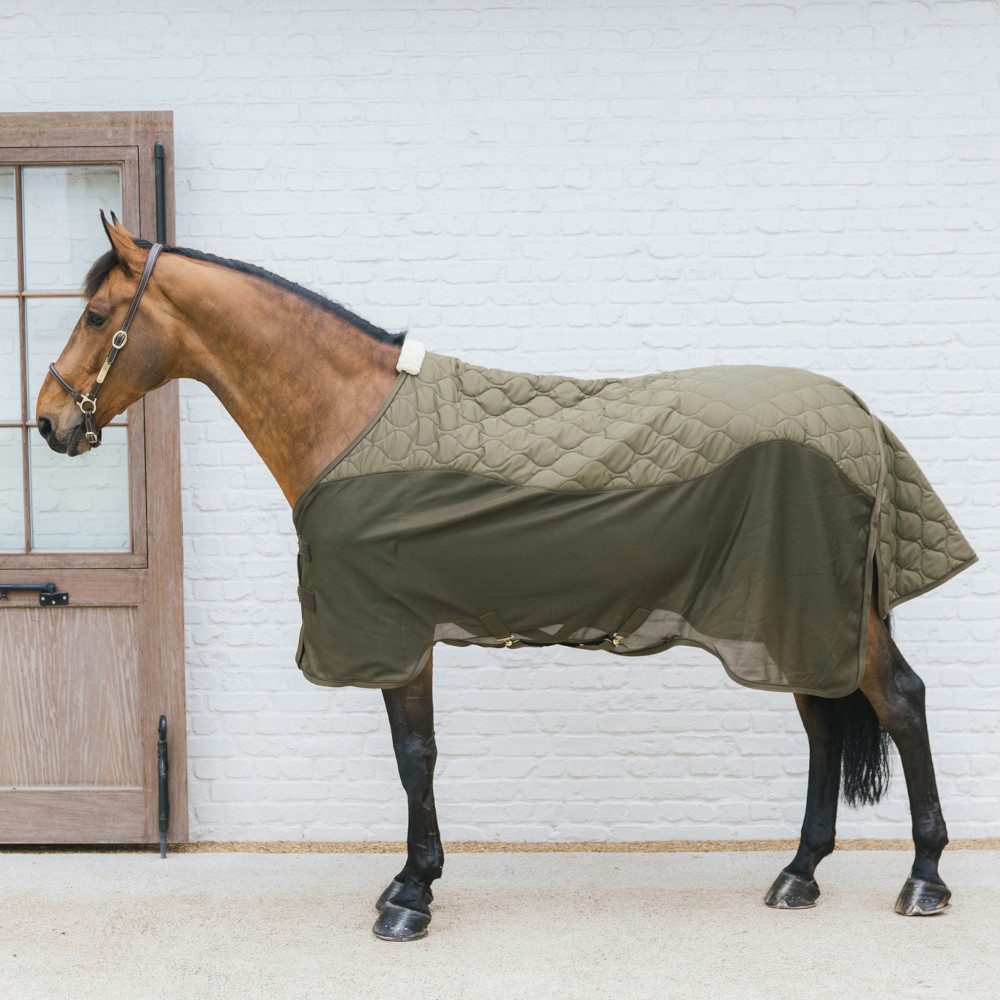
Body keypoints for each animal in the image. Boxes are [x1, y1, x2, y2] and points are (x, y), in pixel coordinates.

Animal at [36, 215, 975, 941]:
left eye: (94, 314)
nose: (47, 422)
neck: (350, 417)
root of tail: (855, 412)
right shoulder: (398, 631)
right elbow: (413, 752)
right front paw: (406, 882)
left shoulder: (394, 629)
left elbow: (415, 755)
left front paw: (410, 898)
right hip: (792, 611)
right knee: (823, 727)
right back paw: (799, 874)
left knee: (900, 701)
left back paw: (924, 881)